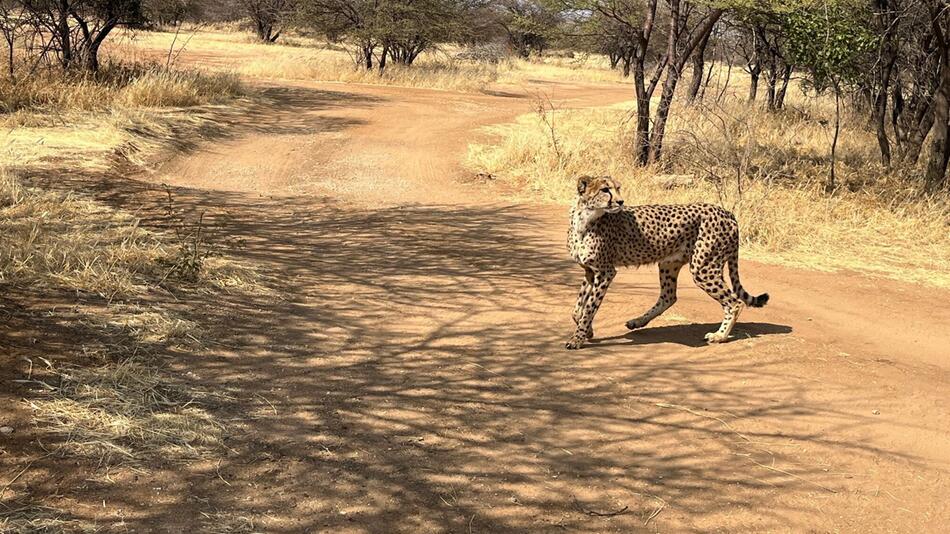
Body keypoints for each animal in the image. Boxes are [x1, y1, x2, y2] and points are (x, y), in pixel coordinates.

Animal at [568, 176, 768, 352]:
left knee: (735, 302)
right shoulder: (590, 271)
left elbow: (590, 307)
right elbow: (578, 308)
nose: (620, 201)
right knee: (669, 296)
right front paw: (587, 331)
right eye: (605, 189)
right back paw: (637, 321)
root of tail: (726, 212)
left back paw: (719, 336)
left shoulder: (605, 272)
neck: (585, 219)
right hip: (669, 264)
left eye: (618, 188)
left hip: (703, 269)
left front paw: (577, 339)